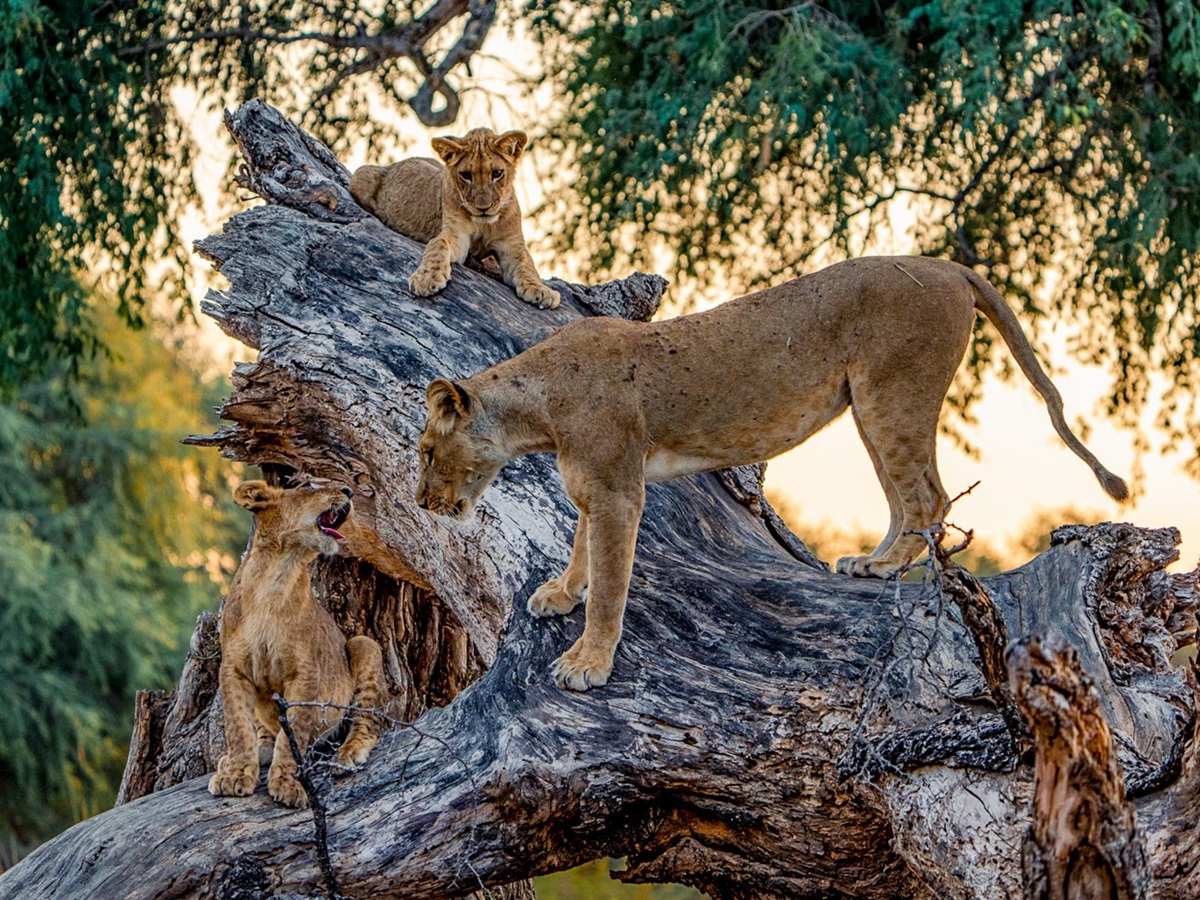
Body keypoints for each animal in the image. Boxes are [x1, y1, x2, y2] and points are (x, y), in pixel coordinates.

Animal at [208, 480, 386, 807]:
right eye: (308, 486)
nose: (348, 491)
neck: (278, 575)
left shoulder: (305, 673)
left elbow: (295, 732)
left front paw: (288, 784)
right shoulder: (233, 669)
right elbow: (238, 726)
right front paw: (236, 774)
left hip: (364, 643)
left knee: (368, 721)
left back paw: (347, 755)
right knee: (262, 730)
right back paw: (251, 753)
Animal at [349, 128, 560, 310]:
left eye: (497, 173)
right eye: (466, 175)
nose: (483, 208)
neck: (484, 225)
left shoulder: (511, 245)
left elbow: (527, 265)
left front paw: (541, 290)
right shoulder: (457, 235)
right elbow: (438, 244)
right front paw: (426, 278)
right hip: (361, 174)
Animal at [414, 256, 1128, 691]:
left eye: (424, 450)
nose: (420, 501)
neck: (536, 409)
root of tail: (944, 264)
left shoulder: (618, 489)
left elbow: (612, 581)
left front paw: (588, 662)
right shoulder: (597, 486)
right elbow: (581, 546)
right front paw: (563, 594)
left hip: (893, 390)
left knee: (929, 495)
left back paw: (887, 569)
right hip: (868, 403)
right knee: (904, 496)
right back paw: (870, 564)